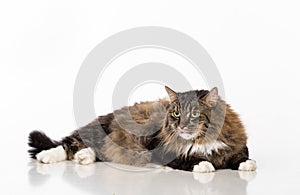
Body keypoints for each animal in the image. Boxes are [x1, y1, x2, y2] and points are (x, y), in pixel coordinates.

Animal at [28, 86, 255, 173]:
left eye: (194, 114)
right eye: (175, 114)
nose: (181, 126)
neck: (201, 140)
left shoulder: (236, 146)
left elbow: (241, 156)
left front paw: (247, 164)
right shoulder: (165, 151)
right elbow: (191, 159)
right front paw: (204, 164)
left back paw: (83, 157)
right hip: (99, 130)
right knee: (67, 143)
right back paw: (46, 156)